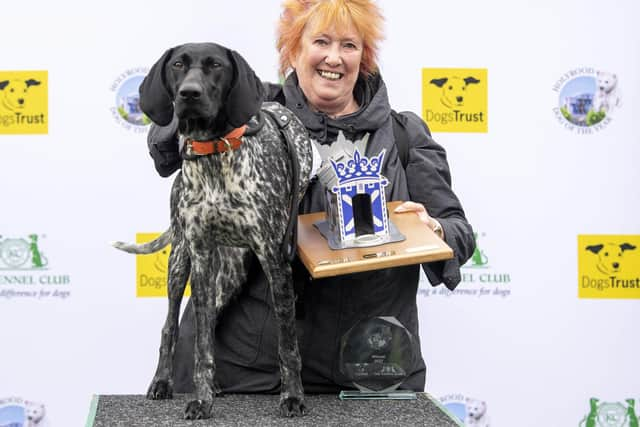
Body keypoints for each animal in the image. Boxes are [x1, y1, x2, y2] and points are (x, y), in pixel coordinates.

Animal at [115, 43, 316, 422]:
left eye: (216, 66)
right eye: (178, 65)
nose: (188, 94)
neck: (214, 155)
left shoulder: (275, 260)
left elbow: (288, 344)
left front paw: (293, 397)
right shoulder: (200, 255)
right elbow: (202, 345)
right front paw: (201, 400)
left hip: (229, 273)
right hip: (182, 263)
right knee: (173, 326)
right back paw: (162, 382)